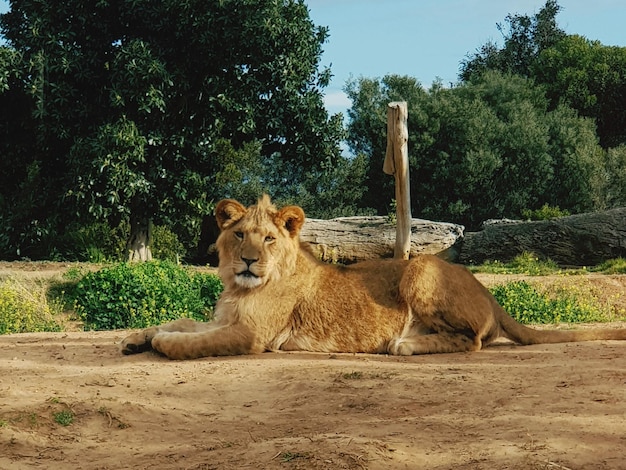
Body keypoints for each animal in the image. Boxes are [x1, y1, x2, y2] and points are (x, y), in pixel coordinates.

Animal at [120, 195, 624, 360]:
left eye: (268, 239)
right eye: (239, 234)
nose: (248, 261)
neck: (238, 287)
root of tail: (490, 294)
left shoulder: (253, 335)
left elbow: (192, 341)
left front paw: (161, 342)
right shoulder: (226, 317)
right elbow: (183, 321)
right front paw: (136, 337)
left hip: (420, 268)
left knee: (474, 341)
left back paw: (404, 345)